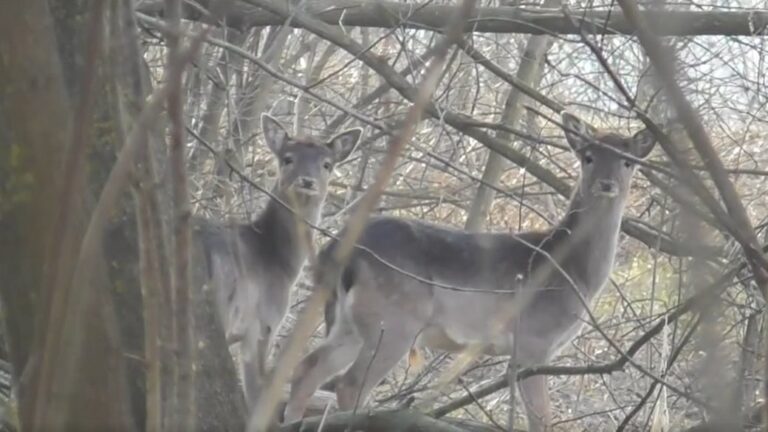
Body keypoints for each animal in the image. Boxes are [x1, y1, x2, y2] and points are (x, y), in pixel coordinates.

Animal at [201, 114, 364, 408]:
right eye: (288, 158)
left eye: (327, 164)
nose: (307, 181)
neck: (280, 262)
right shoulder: (265, 321)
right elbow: (257, 391)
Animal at [284, 110, 660, 428]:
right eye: (588, 156)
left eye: (628, 161)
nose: (606, 184)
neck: (572, 270)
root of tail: (336, 250)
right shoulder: (533, 340)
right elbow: (541, 418)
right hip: (393, 320)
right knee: (348, 384)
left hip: (347, 321)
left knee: (307, 368)